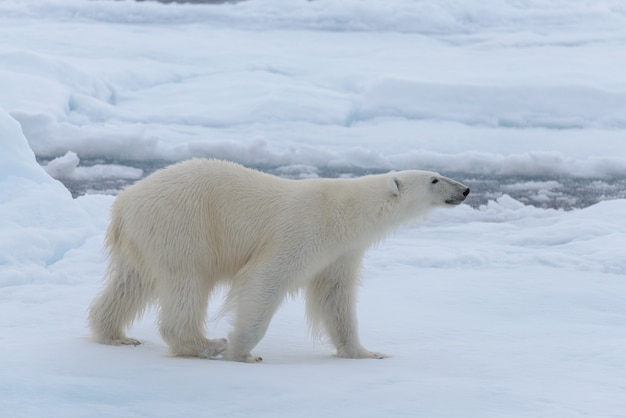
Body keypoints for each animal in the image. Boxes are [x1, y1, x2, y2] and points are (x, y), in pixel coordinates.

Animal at [88, 158, 468, 360]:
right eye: (434, 179)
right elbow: (267, 279)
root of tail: (123, 204)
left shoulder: (340, 253)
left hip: (143, 240)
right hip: (184, 226)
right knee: (187, 282)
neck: (346, 212)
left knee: (129, 284)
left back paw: (115, 334)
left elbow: (335, 297)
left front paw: (365, 352)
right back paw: (206, 344)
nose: (465, 189)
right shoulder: (304, 230)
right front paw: (242, 351)